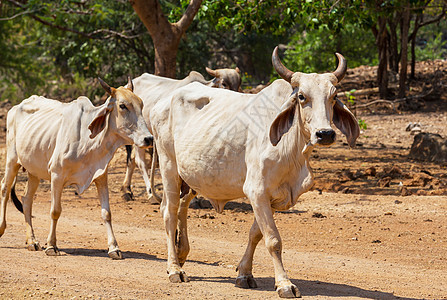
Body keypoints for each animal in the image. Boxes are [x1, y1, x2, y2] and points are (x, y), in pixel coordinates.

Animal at [0, 78, 152, 258]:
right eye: (122, 106)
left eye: (141, 104)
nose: (149, 138)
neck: (89, 140)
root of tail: (16, 106)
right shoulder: (57, 175)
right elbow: (55, 211)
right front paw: (51, 245)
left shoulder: (101, 176)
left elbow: (106, 213)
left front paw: (114, 248)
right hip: (12, 160)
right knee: (5, 189)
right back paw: (3, 228)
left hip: (33, 171)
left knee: (26, 199)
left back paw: (32, 241)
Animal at [121, 67, 242, 203]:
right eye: (224, 83)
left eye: (239, 84)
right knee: (140, 162)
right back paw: (150, 193)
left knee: (131, 160)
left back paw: (127, 190)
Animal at [150, 47, 360, 298]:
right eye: (301, 97)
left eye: (334, 96)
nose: (325, 134)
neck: (293, 149)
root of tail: (162, 102)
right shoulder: (256, 190)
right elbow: (273, 240)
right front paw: (284, 284)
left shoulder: (273, 197)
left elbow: (256, 234)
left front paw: (244, 274)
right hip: (168, 166)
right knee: (169, 212)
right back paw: (174, 269)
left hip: (191, 177)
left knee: (182, 208)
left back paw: (181, 255)